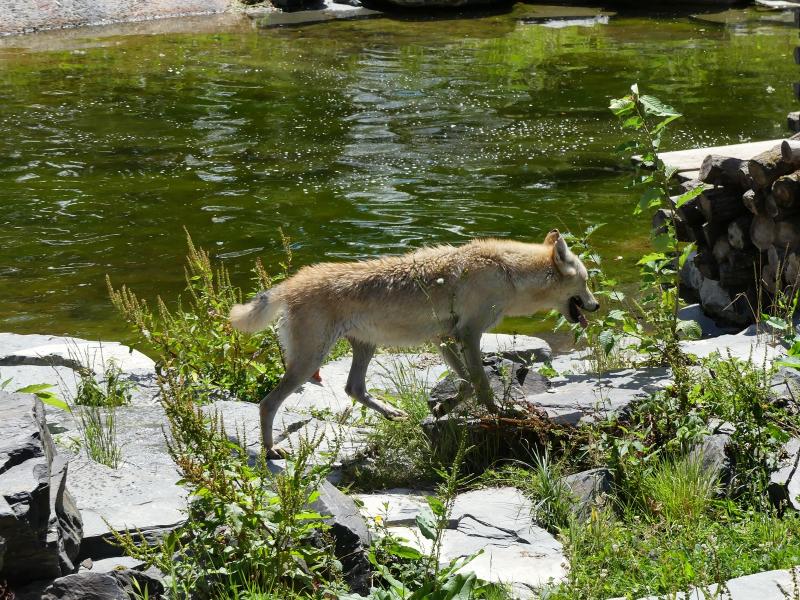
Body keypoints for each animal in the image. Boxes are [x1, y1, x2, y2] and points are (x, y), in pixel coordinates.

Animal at [230, 229, 599, 457]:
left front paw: (443, 408)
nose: (596, 306)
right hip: (309, 363)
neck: (509, 272)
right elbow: (481, 384)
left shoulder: (445, 338)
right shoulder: (469, 336)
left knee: (354, 388)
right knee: (267, 404)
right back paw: (270, 451)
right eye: (585, 282)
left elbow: (466, 382)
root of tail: (289, 284)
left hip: (364, 348)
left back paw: (393, 413)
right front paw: (502, 413)